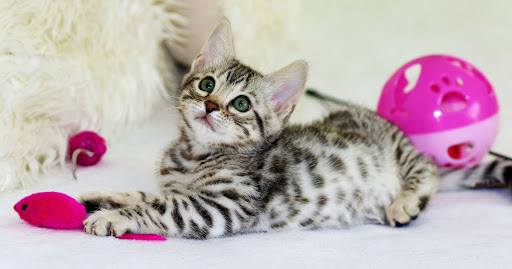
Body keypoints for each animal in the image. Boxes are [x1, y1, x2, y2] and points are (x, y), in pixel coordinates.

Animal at [80, 21, 512, 239]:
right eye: (207, 84)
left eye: (241, 104)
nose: (210, 105)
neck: (193, 156)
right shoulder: (181, 189)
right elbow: (146, 193)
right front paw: (105, 196)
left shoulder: (219, 207)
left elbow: (159, 207)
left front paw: (115, 217)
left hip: (402, 151)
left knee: (428, 168)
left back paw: (405, 202)